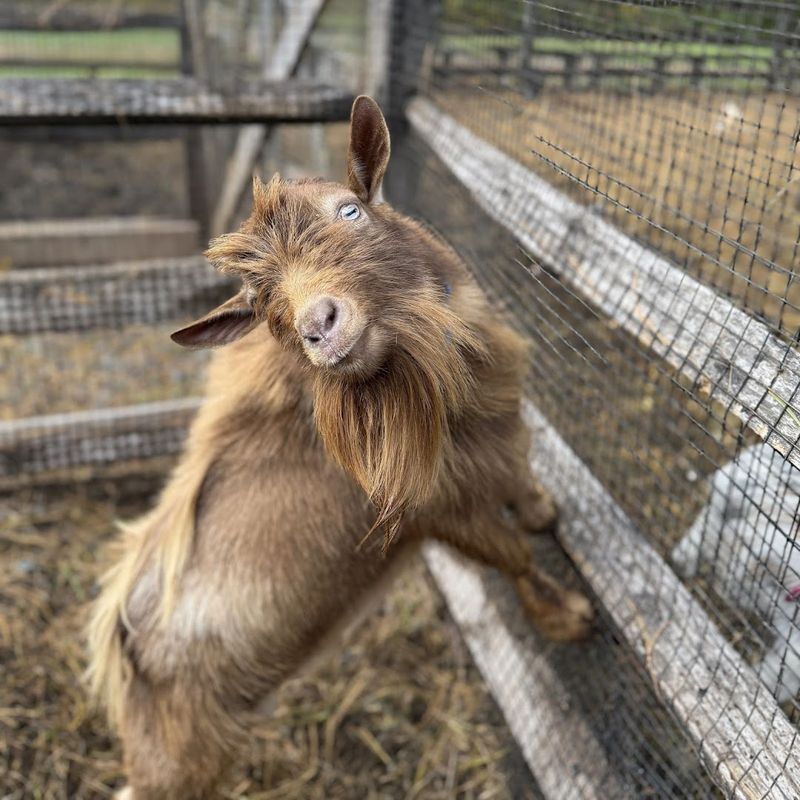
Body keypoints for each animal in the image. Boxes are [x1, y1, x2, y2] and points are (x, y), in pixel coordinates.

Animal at [88, 96, 593, 799]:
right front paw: (570, 617)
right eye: (261, 304)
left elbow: (522, 483)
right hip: (176, 753)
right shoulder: (439, 510)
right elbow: (514, 556)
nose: (318, 326)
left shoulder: (495, 443)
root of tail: (125, 636)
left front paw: (545, 511)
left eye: (349, 210)